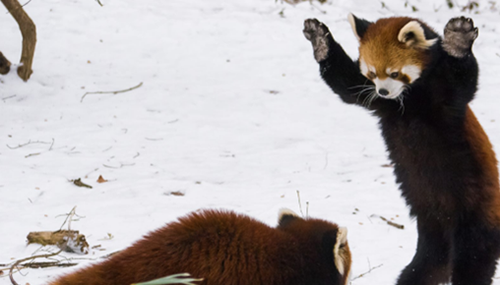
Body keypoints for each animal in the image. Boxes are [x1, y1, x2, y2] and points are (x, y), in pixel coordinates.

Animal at [302, 14, 500, 284]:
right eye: (372, 73)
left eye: (395, 73)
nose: (383, 91)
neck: (409, 100)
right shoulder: (379, 103)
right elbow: (347, 87)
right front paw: (320, 41)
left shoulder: (447, 97)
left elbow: (465, 78)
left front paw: (458, 41)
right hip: (432, 229)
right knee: (426, 266)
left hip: (475, 216)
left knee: (473, 261)